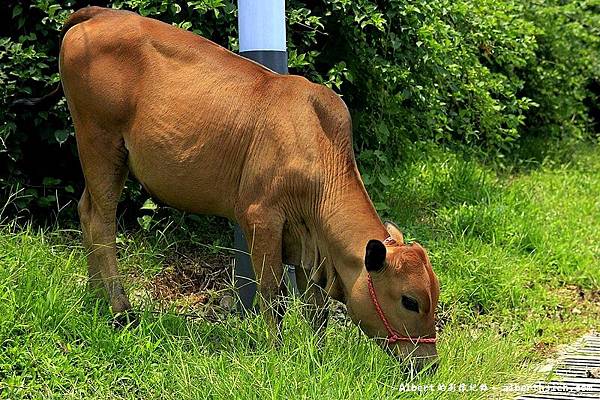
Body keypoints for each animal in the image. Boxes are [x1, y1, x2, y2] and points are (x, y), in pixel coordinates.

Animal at [22, 6, 440, 368]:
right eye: (410, 301)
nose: (430, 364)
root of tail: (100, 12)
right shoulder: (262, 218)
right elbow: (273, 296)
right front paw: (277, 352)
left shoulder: (310, 242)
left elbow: (316, 307)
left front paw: (316, 357)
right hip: (99, 139)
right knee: (102, 220)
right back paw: (121, 309)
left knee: (86, 210)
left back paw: (96, 297)